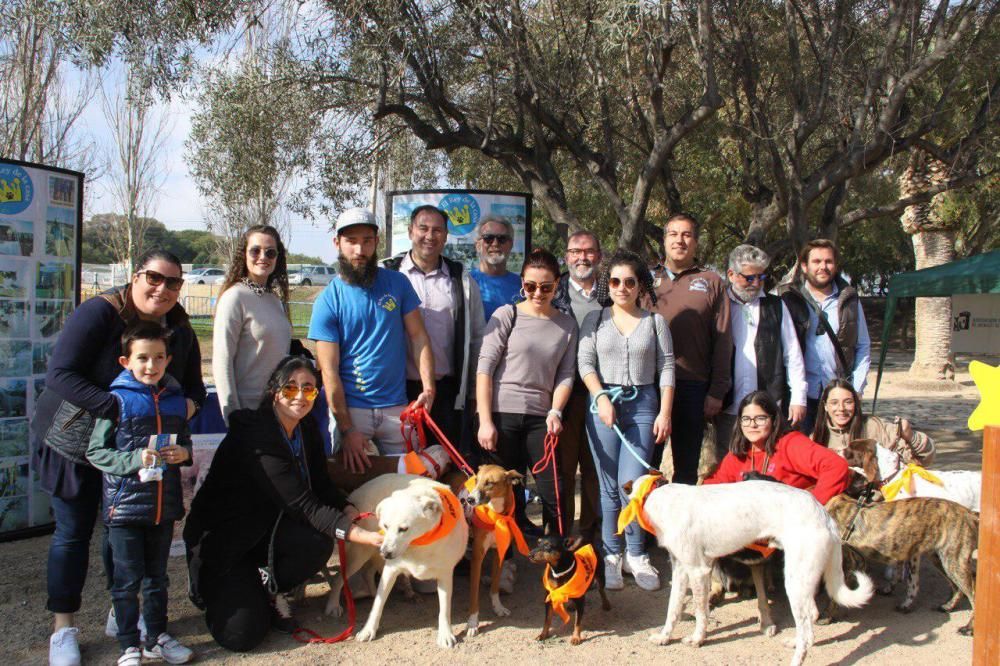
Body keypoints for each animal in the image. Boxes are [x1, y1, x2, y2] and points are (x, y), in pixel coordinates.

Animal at [328, 472, 468, 648]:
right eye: (385, 526)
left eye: (404, 529)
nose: (386, 553)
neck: (419, 544)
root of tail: (356, 491)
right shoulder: (390, 569)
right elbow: (377, 605)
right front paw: (368, 630)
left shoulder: (445, 575)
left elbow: (444, 610)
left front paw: (445, 635)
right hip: (360, 554)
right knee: (339, 578)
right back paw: (333, 605)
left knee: (368, 572)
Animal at [628, 472, 872, 664]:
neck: (660, 496)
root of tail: (825, 516)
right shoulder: (680, 568)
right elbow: (673, 609)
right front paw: (664, 637)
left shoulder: (699, 570)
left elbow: (700, 612)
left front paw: (698, 638)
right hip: (802, 579)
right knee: (810, 619)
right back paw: (794, 642)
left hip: (795, 579)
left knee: (806, 627)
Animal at [824, 492, 980, 632]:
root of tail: (970, 514)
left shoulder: (845, 566)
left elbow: (834, 597)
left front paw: (827, 617)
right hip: (940, 559)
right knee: (957, 588)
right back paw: (948, 606)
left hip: (953, 561)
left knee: (972, 594)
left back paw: (969, 628)